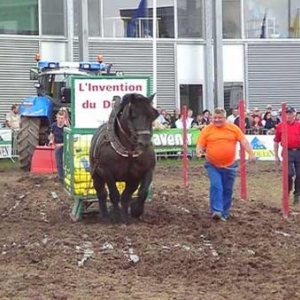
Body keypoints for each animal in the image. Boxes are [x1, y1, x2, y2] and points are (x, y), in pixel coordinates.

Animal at [89, 94, 159, 223]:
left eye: (152, 115)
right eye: (133, 115)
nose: (144, 143)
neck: (129, 151)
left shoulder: (145, 172)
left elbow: (141, 192)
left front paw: (135, 211)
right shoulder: (106, 171)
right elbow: (114, 194)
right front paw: (116, 216)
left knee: (125, 196)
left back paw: (125, 216)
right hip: (96, 175)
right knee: (102, 193)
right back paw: (105, 215)